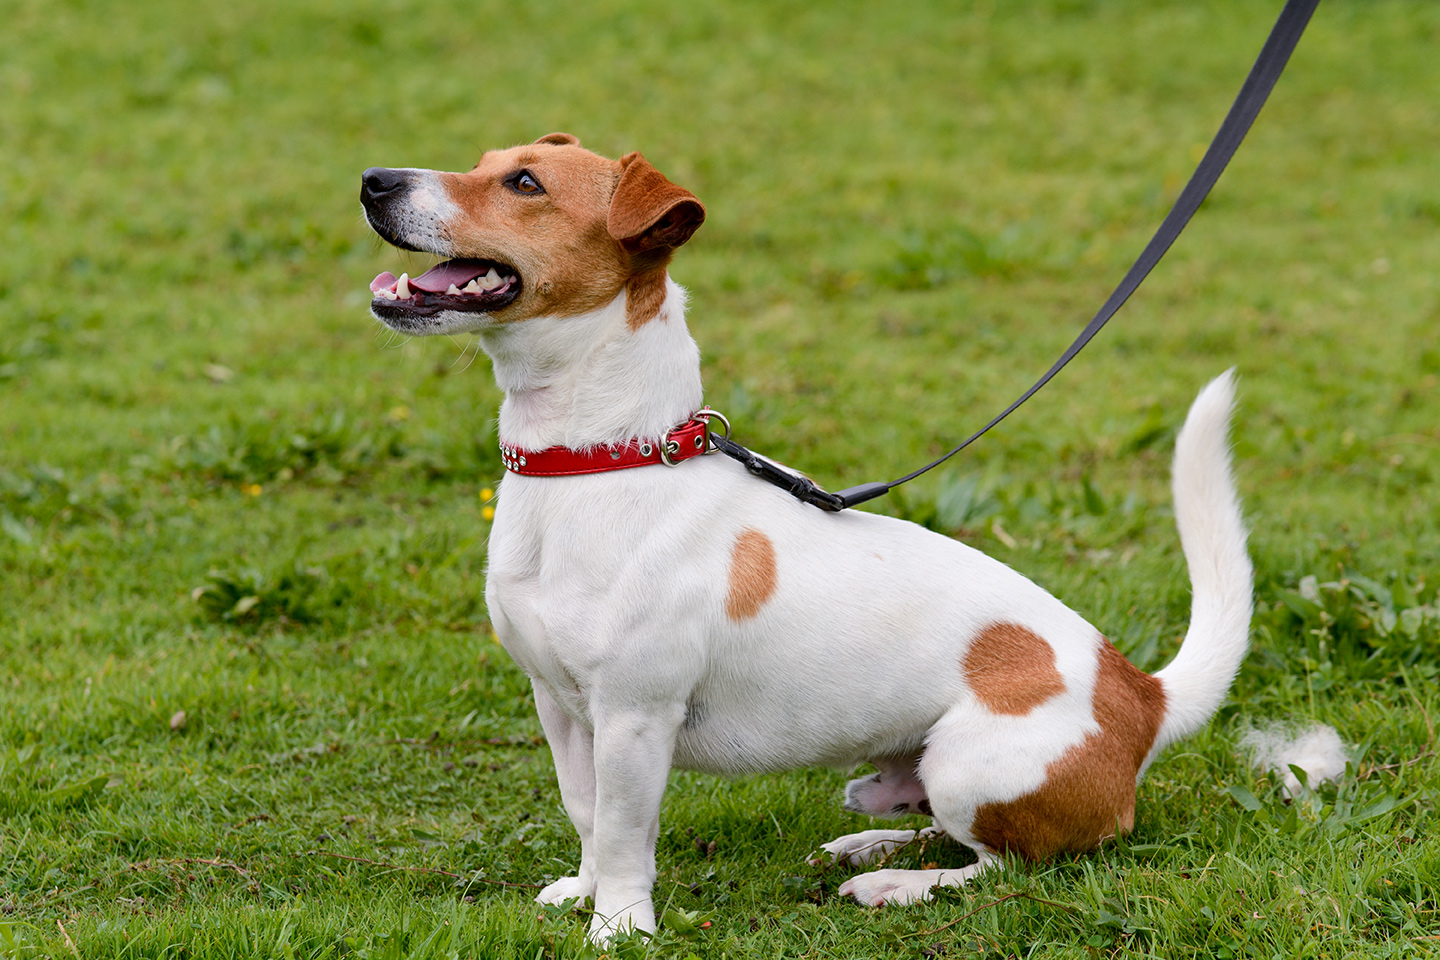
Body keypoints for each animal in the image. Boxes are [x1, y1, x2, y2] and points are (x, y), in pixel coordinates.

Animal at [359, 134, 1253, 942]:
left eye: (524, 183)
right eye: (482, 161)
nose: (372, 178)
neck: (600, 460)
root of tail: (1143, 696)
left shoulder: (634, 717)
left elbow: (620, 832)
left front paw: (619, 925)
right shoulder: (561, 707)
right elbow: (585, 813)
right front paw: (583, 895)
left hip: (969, 765)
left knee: (1007, 868)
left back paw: (894, 884)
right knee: (944, 833)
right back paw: (872, 842)